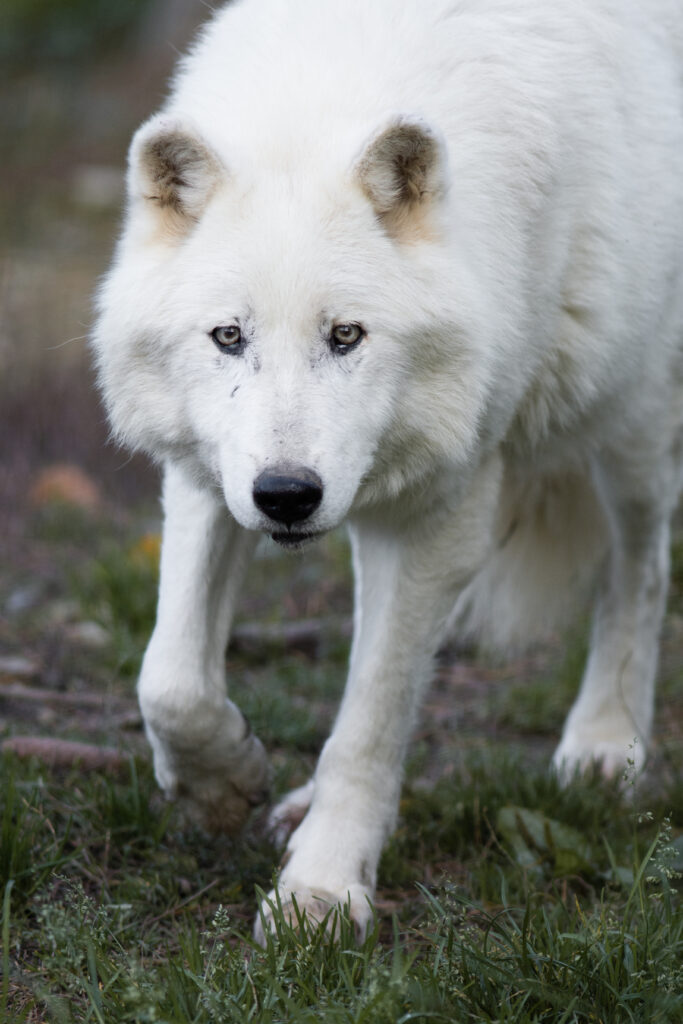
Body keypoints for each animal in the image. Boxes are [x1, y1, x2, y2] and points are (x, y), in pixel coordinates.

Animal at [93, 0, 683, 939]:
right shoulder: (209, 475)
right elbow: (170, 679)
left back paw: (603, 743)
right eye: (228, 336)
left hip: (628, 414)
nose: (286, 496)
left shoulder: (444, 511)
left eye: (346, 335)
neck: (319, 100)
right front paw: (223, 785)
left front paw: (321, 890)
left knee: (640, 567)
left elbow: (369, 721)